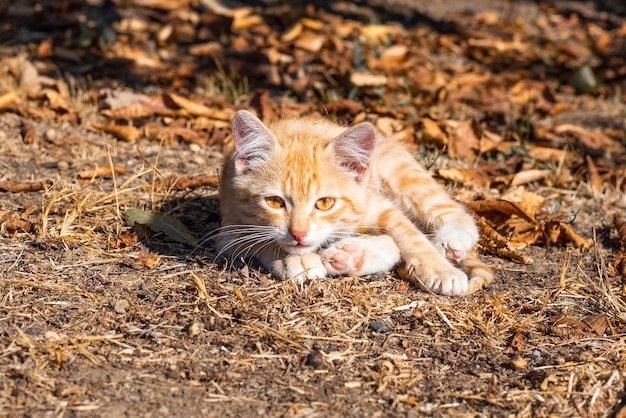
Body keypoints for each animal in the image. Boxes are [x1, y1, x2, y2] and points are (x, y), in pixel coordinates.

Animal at [214, 109, 492, 296]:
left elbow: (409, 235)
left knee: (450, 210)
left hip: (400, 172)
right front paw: (294, 258)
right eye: (275, 201)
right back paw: (352, 255)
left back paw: (452, 239)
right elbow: (261, 241)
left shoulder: (377, 205)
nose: (299, 233)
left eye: (325, 203)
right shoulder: (229, 231)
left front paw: (439, 269)